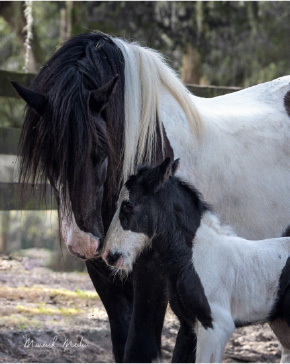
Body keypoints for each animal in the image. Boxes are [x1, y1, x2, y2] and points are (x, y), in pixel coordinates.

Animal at [103, 158, 290, 362]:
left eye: (128, 205)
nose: (110, 255)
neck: (197, 256)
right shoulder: (188, 327)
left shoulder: (216, 327)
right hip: (281, 324)